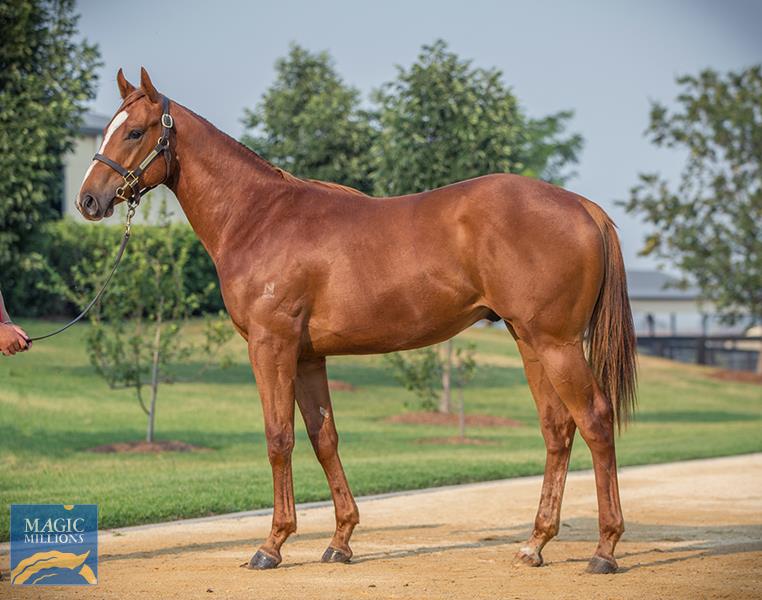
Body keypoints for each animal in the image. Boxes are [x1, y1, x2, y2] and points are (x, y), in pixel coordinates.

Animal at [77, 68, 636, 576]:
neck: (259, 217)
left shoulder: (270, 346)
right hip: (530, 341)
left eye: (134, 131)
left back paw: (605, 550)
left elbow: (279, 438)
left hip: (557, 343)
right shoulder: (307, 356)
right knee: (557, 428)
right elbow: (324, 438)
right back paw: (534, 544)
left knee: (595, 420)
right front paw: (341, 540)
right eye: (108, 128)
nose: (88, 200)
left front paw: (271, 545)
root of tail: (583, 207)